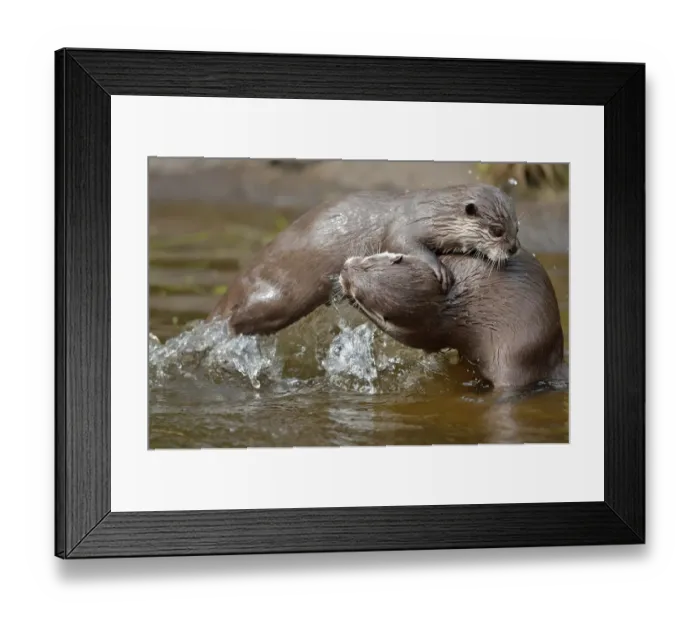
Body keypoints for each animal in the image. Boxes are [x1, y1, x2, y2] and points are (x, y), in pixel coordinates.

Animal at [209, 184, 519, 336]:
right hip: (278, 294)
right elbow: (404, 244)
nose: (513, 248)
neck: (432, 213)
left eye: (516, 227)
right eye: (496, 231)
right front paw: (439, 268)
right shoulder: (404, 227)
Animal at [338, 250, 568, 389]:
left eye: (367, 264)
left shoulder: (428, 328)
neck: (442, 297)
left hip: (514, 357)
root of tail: (554, 359)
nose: (344, 269)